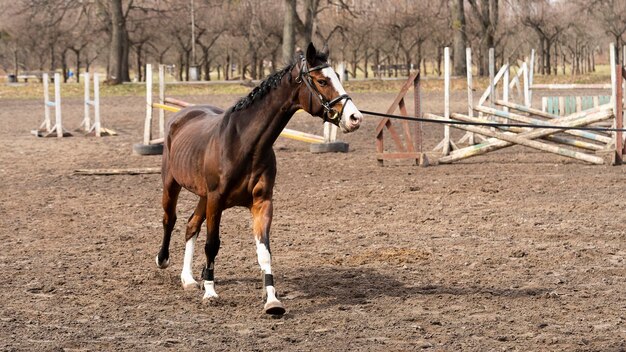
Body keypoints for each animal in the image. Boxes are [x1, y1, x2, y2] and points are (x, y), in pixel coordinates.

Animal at [155, 42, 360, 314]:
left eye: (337, 76)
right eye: (322, 81)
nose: (355, 118)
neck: (244, 144)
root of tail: (182, 115)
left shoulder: (261, 203)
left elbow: (264, 251)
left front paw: (272, 300)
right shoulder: (216, 200)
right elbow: (212, 244)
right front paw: (210, 292)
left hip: (203, 197)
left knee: (191, 225)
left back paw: (188, 279)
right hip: (173, 185)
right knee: (170, 219)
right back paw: (163, 260)